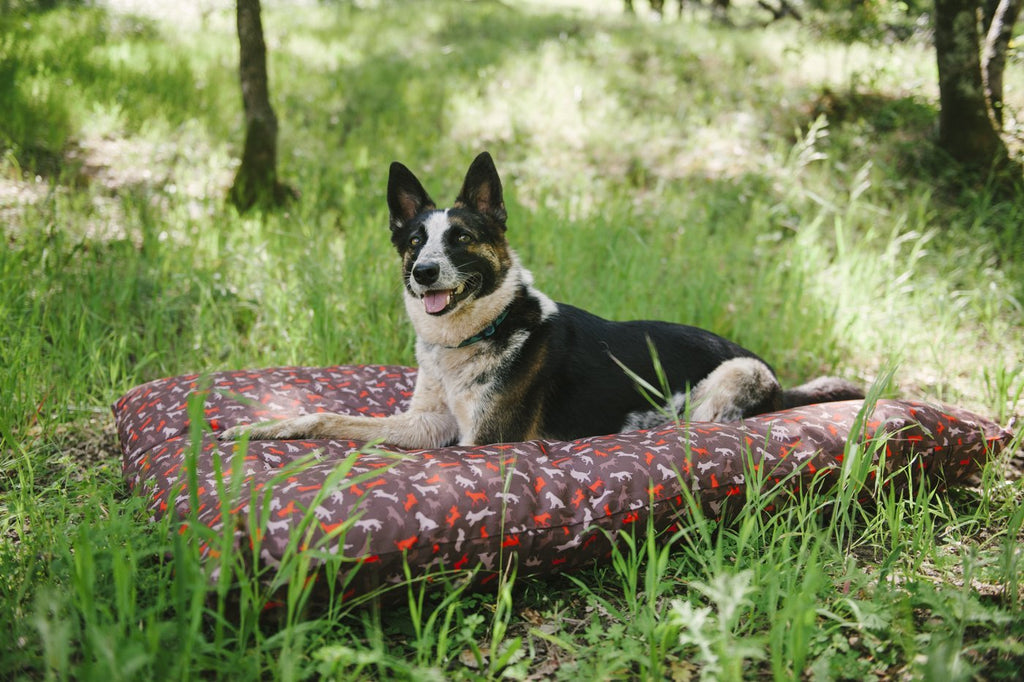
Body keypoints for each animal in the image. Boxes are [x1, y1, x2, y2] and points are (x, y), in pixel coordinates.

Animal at [220, 150, 860, 446]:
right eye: (414, 242)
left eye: (461, 239)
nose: (424, 273)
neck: (475, 334)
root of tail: (781, 381)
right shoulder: (425, 423)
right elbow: (331, 418)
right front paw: (263, 428)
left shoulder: (480, 441)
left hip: (730, 380)